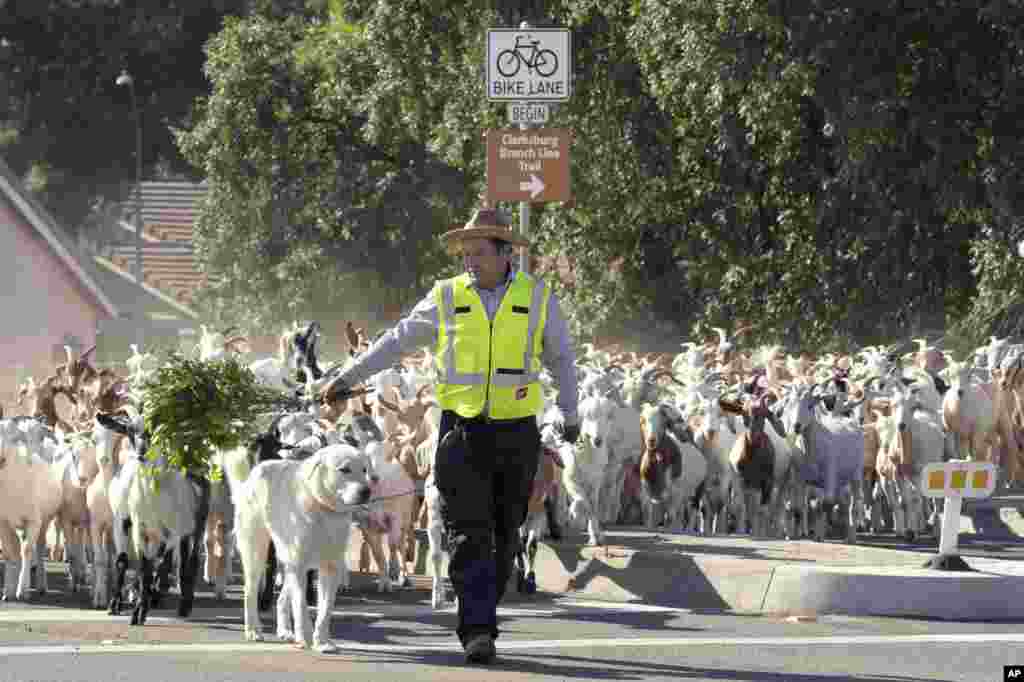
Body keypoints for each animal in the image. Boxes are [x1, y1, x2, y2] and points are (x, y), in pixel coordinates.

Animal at [230, 440, 374, 647]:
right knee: (250, 590)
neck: (324, 509)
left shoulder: (330, 567)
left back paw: (284, 631)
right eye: (344, 470)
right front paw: (305, 637)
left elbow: (325, 610)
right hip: (257, 553)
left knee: (282, 600)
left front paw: (323, 642)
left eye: (364, 470)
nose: (367, 491)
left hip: (289, 563)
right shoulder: (299, 565)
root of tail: (254, 472)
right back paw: (253, 630)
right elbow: (300, 606)